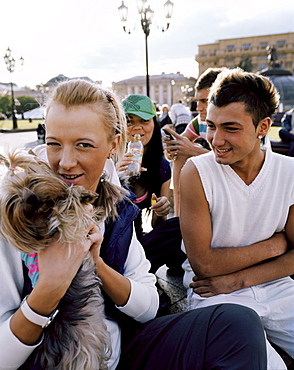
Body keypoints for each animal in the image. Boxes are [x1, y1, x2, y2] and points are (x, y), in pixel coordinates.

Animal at [0, 150, 111, 370]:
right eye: (14, 199)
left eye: (33, 181)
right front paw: (77, 195)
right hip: (81, 356)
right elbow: (66, 211)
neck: (42, 217)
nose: (32, 198)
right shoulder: (64, 228)